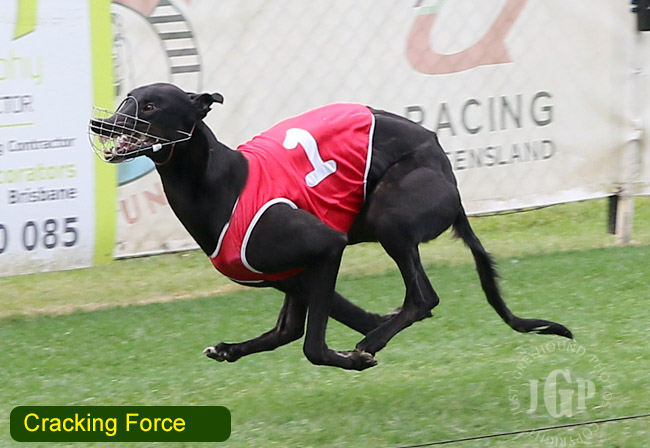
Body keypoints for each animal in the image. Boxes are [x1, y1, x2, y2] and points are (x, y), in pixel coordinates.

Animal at [89, 82, 572, 371]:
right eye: (125, 100)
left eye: (151, 104)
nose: (100, 123)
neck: (220, 181)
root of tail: (442, 161)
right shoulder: (294, 277)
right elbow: (292, 330)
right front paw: (229, 349)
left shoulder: (326, 247)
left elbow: (313, 346)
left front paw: (357, 355)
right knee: (412, 303)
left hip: (390, 218)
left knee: (424, 297)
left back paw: (374, 341)